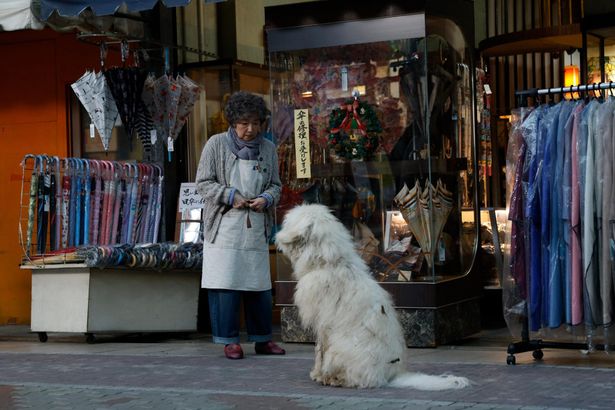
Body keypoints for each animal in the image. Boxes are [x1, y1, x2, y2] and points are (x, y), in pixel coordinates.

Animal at [276, 205, 470, 390]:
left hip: (342, 348)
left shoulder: (322, 324)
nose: (277, 235)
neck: (331, 263)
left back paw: (336, 379)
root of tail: (393, 376)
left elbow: (319, 351)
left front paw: (318, 374)